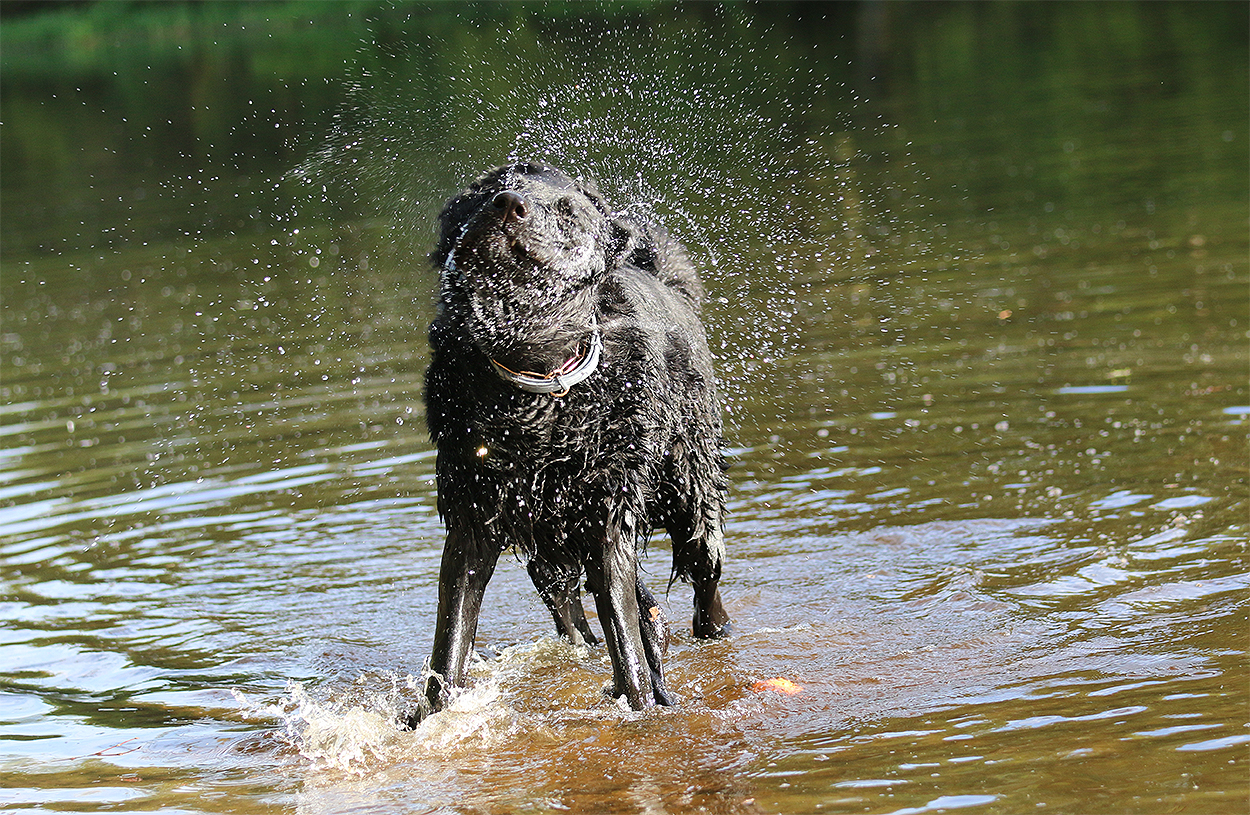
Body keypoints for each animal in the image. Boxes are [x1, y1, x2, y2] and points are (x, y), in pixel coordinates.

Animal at [410, 163, 730, 726]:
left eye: (566, 210)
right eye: (487, 191)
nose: (507, 204)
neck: (537, 385)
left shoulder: (608, 518)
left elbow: (624, 627)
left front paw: (641, 706)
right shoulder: (473, 518)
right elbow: (450, 637)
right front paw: (431, 717)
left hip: (691, 497)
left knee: (704, 578)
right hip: (548, 544)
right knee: (568, 602)